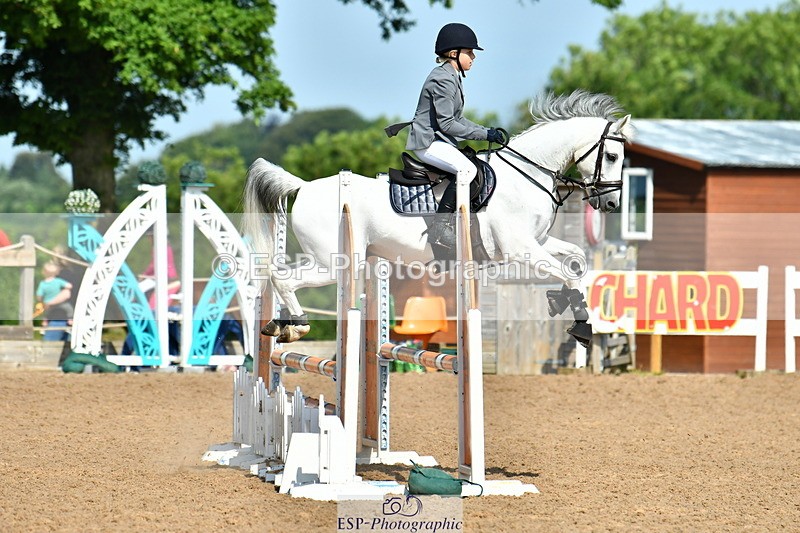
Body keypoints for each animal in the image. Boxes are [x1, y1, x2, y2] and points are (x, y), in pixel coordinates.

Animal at [242, 90, 634, 344]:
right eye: (613, 156)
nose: (611, 203)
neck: (526, 174)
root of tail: (304, 186)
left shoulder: (537, 242)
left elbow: (577, 261)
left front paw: (562, 302)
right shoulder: (519, 249)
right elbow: (568, 272)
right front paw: (580, 326)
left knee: (280, 276)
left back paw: (279, 325)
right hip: (336, 262)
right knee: (284, 279)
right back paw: (295, 326)